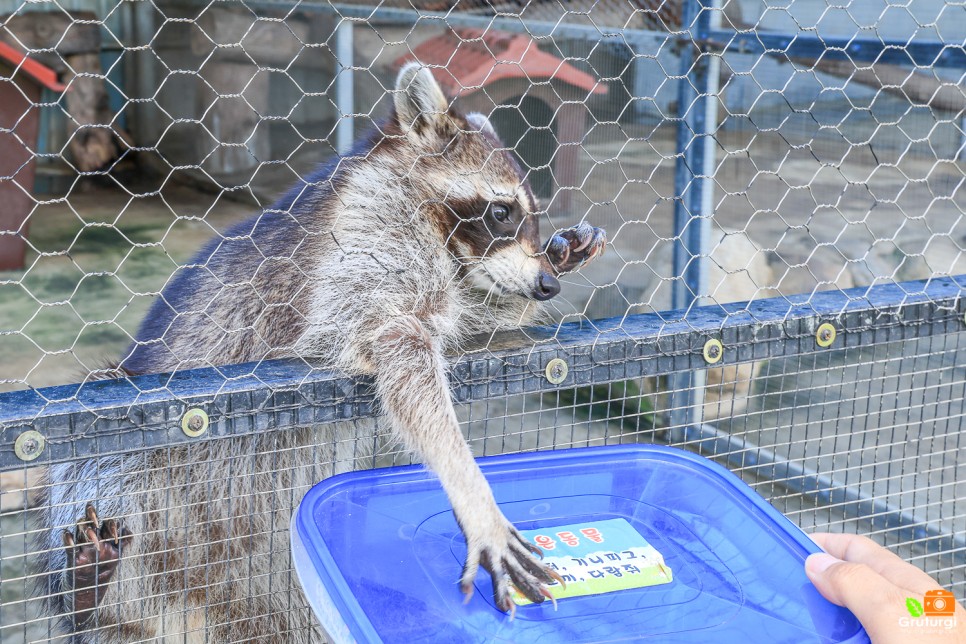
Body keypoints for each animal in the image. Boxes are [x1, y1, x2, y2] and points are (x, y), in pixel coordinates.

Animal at [36, 65, 604, 644]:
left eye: (530, 216)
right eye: (501, 211)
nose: (546, 286)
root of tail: (200, 611)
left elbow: (463, 321)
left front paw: (549, 264)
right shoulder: (365, 243)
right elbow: (397, 344)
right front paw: (471, 489)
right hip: (147, 491)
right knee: (99, 456)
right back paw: (87, 591)